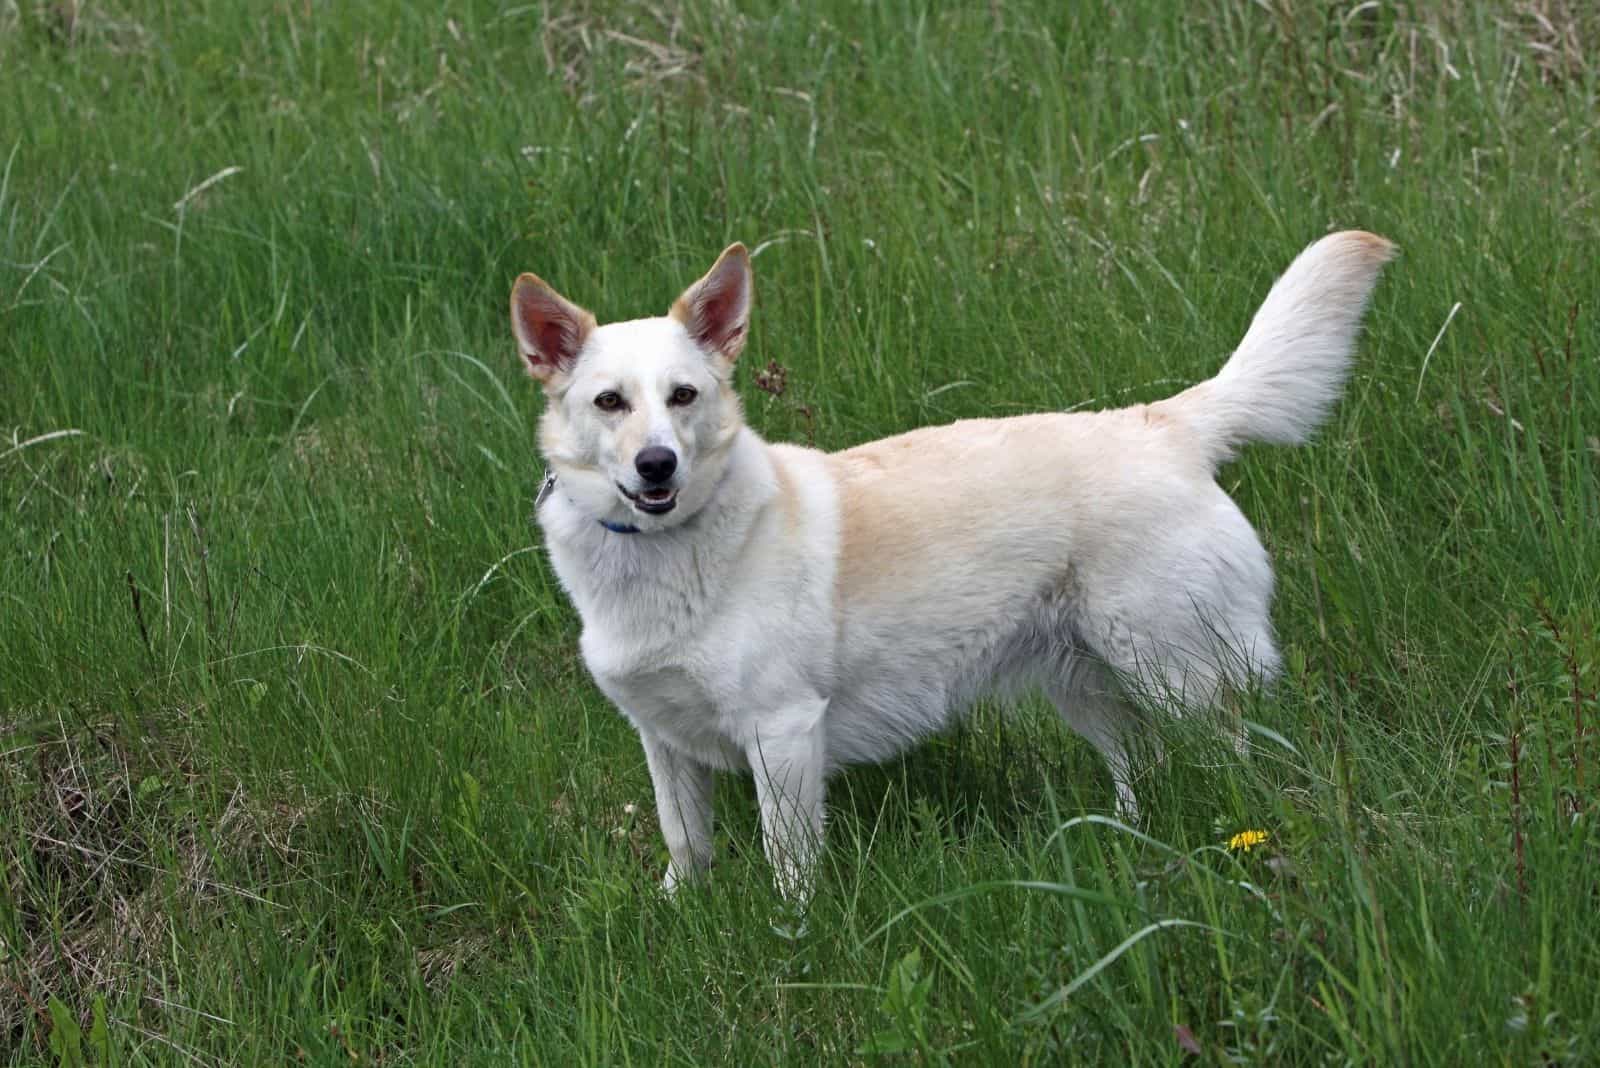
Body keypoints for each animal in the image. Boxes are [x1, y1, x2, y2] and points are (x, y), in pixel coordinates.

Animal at [508, 233, 1388, 901]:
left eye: (684, 395)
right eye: (610, 403)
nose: (657, 466)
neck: (664, 554)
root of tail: (1165, 424)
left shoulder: (783, 733)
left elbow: (789, 865)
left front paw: (794, 944)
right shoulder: (664, 740)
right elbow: (684, 847)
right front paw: (678, 918)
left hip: (1181, 676)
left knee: (1235, 765)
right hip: (1090, 684)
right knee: (1144, 768)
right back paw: (1130, 848)